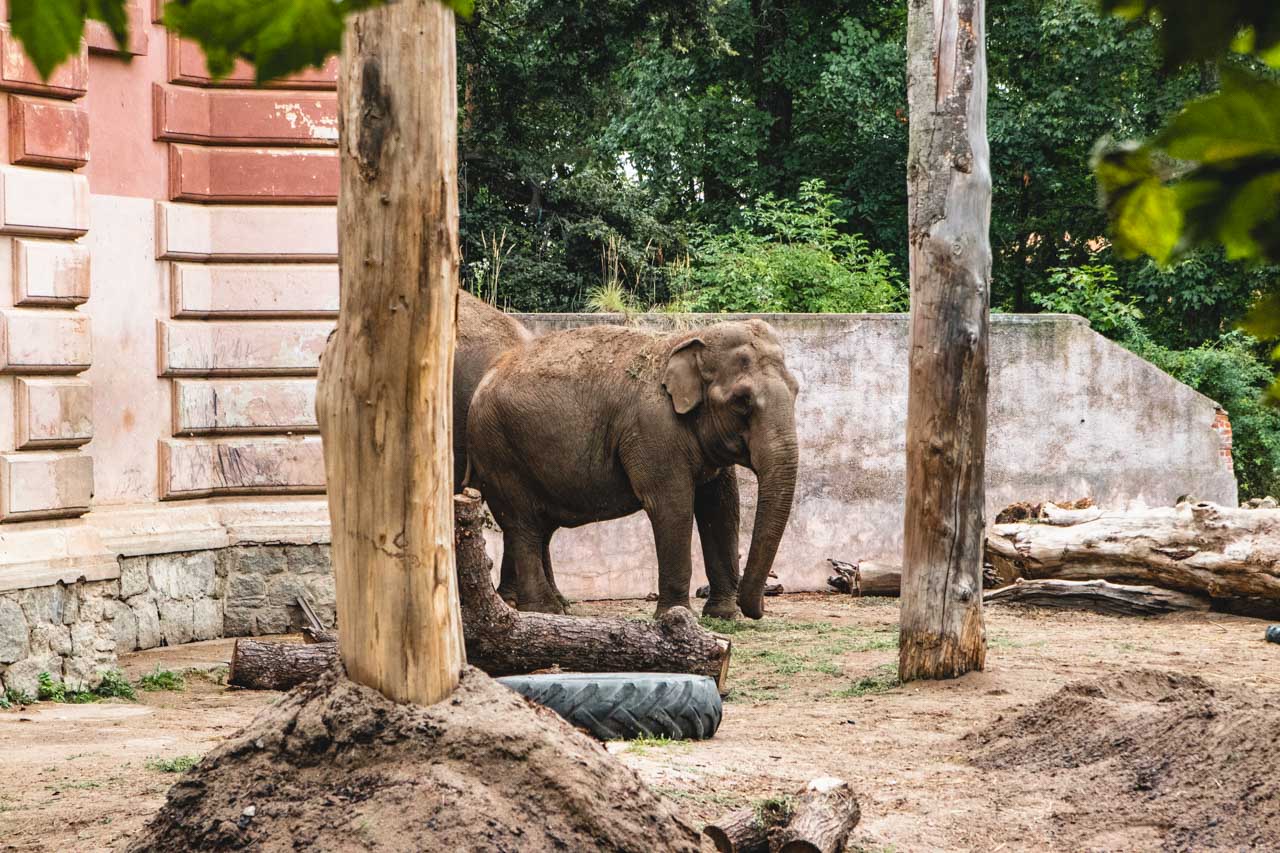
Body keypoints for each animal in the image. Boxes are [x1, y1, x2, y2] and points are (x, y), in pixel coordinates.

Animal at [465, 315, 793, 614]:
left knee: (541, 525)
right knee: (523, 524)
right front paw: (676, 616)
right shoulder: (652, 429)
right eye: (741, 401)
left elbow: (721, 507)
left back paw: (559, 606)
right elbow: (672, 505)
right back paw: (545, 610)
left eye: (797, 390)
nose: (759, 607)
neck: (685, 340)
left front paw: (724, 616)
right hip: (498, 452)